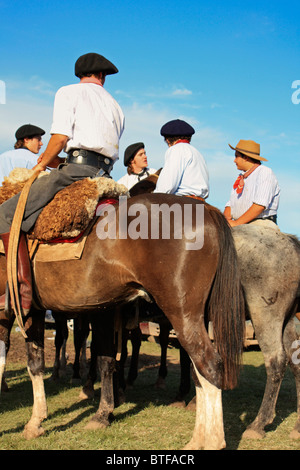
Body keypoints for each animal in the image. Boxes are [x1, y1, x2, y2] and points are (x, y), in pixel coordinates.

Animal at [0, 193, 245, 450]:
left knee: (209, 364)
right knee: (199, 372)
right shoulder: (53, 311)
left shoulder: (23, 312)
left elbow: (28, 360)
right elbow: (44, 360)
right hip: (196, 317)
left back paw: (213, 441)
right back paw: (196, 439)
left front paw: (34, 421)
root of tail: (207, 210)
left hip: (182, 315)